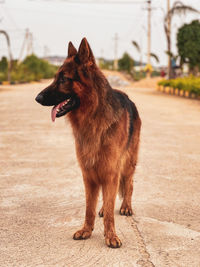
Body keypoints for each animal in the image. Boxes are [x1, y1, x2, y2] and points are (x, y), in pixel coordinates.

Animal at [35, 37, 141, 249]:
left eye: (63, 79)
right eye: (55, 77)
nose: (37, 98)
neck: (92, 117)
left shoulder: (110, 171)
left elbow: (110, 208)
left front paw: (111, 235)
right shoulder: (89, 174)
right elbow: (89, 207)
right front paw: (87, 230)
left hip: (127, 164)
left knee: (129, 185)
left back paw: (126, 206)